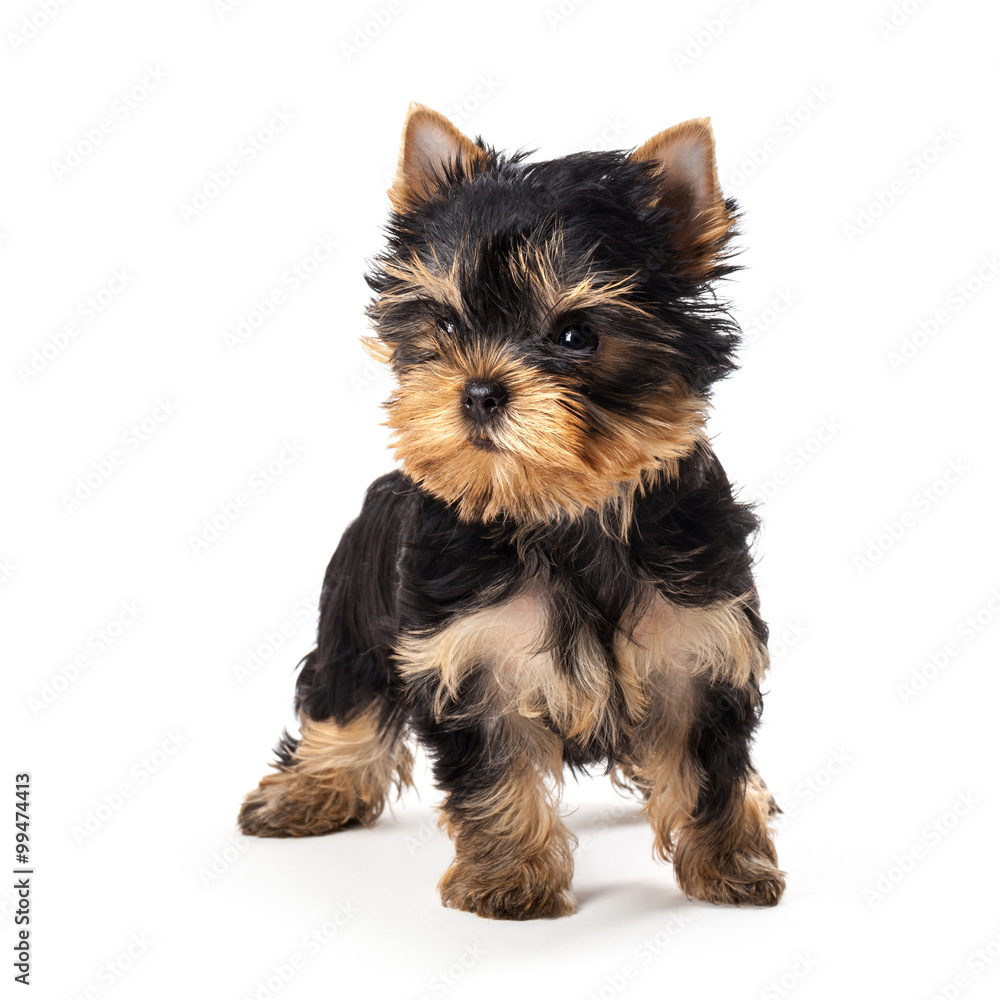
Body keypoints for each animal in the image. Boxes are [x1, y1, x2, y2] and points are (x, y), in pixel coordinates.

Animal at [238, 103, 785, 919]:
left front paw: (731, 864)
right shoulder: (473, 657)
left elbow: (709, 768)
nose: (478, 390)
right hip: (355, 604)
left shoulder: (700, 643)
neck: (561, 507)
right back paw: (311, 789)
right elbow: (498, 775)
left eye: (576, 335)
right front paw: (508, 881)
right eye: (446, 326)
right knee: (343, 691)